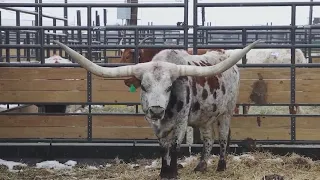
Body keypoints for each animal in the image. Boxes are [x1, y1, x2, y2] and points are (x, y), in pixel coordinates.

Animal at [54, 39, 260, 179]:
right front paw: (163, 172)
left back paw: (221, 166)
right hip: (205, 114)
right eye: (144, 87)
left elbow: (175, 146)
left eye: (169, 87)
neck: (166, 112)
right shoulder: (156, 125)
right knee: (208, 138)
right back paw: (201, 166)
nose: (156, 110)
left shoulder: (181, 121)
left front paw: (173, 173)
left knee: (224, 136)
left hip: (226, 111)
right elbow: (163, 148)